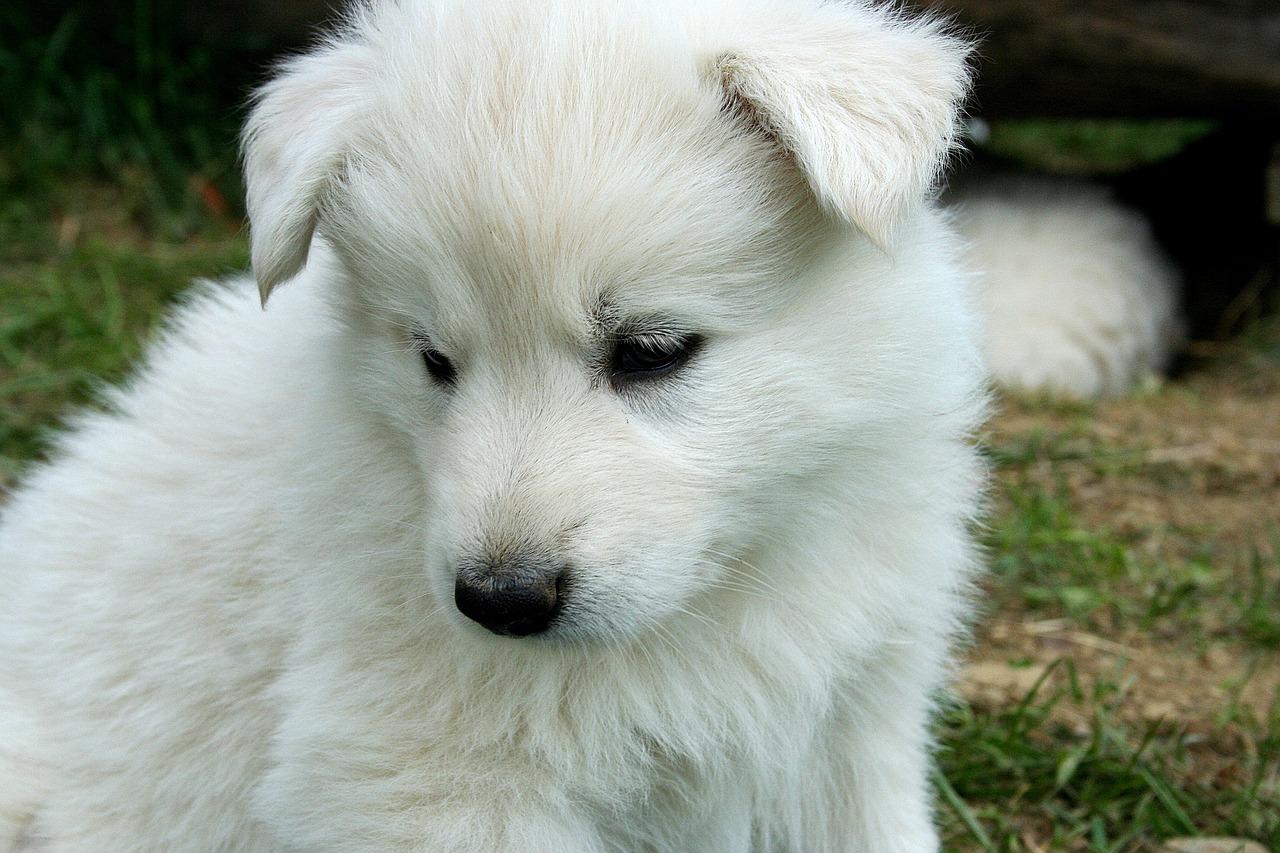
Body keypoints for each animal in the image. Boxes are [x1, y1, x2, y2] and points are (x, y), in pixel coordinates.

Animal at [0, 1, 983, 850]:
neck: (716, 594)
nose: (501, 602)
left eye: (651, 351)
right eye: (435, 360)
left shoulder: (852, 721)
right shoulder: (427, 774)